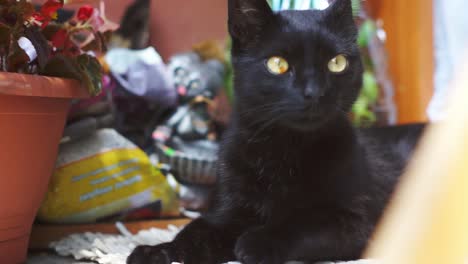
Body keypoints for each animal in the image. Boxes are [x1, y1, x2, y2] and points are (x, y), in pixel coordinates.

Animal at [127, 0, 424, 264]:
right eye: (277, 64)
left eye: (336, 63)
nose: (314, 92)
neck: (283, 150)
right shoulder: (230, 211)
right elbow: (196, 230)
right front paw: (157, 251)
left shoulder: (358, 223)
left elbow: (306, 223)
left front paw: (255, 242)